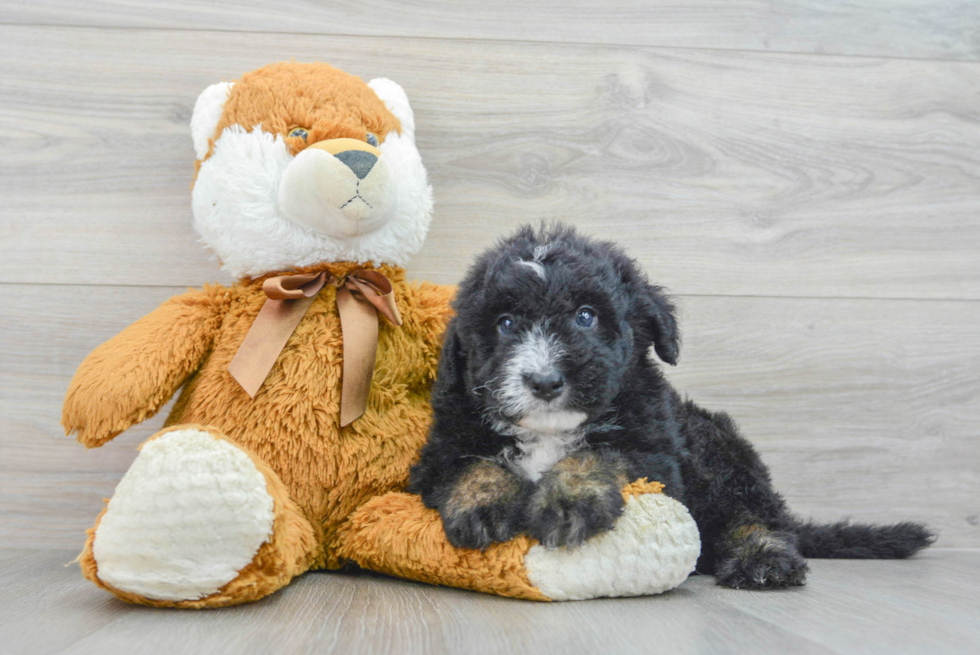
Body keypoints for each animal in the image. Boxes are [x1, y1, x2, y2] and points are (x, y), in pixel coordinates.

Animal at [408, 224, 936, 588]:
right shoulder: (439, 452)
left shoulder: (654, 454)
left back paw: (762, 559)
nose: (544, 381)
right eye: (505, 323)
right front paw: (483, 504)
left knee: (753, 515)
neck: (548, 431)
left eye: (586, 317)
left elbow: (598, 454)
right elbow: (473, 464)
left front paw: (569, 499)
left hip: (722, 455)